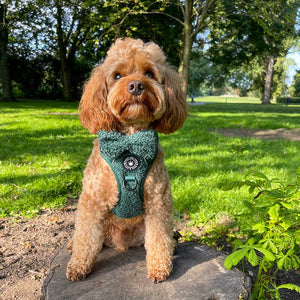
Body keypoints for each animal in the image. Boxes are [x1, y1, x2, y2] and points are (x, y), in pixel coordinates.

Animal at [67, 37, 186, 282]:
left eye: (149, 73)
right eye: (117, 76)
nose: (136, 86)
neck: (130, 142)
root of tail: (121, 243)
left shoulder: (158, 202)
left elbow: (159, 238)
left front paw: (160, 267)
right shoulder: (92, 201)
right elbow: (84, 237)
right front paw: (78, 266)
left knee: (163, 238)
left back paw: (172, 246)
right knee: (91, 240)